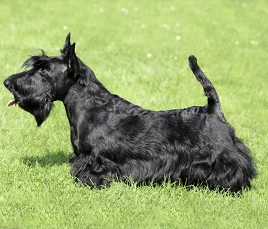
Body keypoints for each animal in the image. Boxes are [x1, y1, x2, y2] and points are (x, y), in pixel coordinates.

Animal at [3, 33, 255, 191]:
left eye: (44, 70)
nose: (7, 82)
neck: (91, 107)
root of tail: (213, 108)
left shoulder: (96, 158)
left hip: (222, 156)